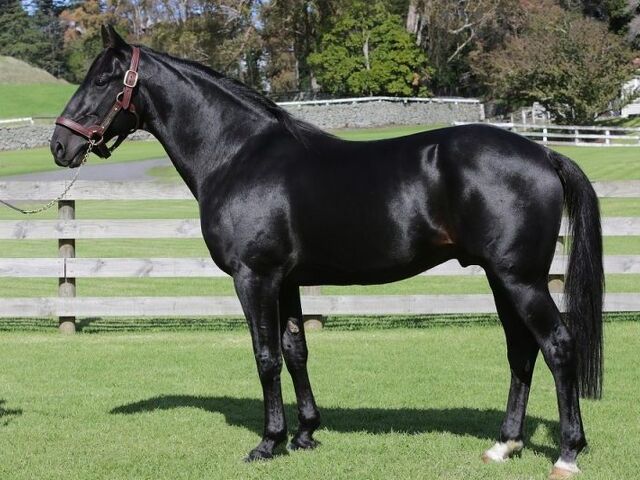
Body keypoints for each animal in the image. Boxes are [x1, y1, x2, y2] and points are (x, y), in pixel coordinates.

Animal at [51, 26, 603, 479]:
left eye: (103, 79)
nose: (60, 145)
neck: (237, 154)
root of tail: (543, 152)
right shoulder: (288, 280)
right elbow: (296, 351)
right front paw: (305, 434)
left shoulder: (255, 277)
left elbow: (266, 356)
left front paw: (268, 443)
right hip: (500, 277)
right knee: (520, 350)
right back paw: (504, 446)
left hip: (520, 279)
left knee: (557, 346)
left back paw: (567, 454)